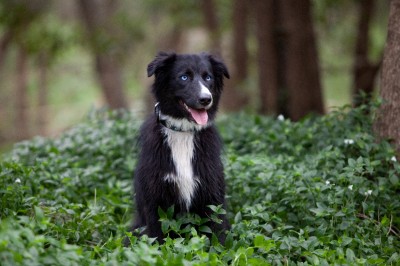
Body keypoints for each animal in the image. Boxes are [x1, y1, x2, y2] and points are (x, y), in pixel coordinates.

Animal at [126, 51, 230, 243]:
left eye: (208, 77)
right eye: (184, 77)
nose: (206, 99)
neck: (183, 131)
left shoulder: (212, 196)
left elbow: (216, 235)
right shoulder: (156, 201)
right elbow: (158, 238)